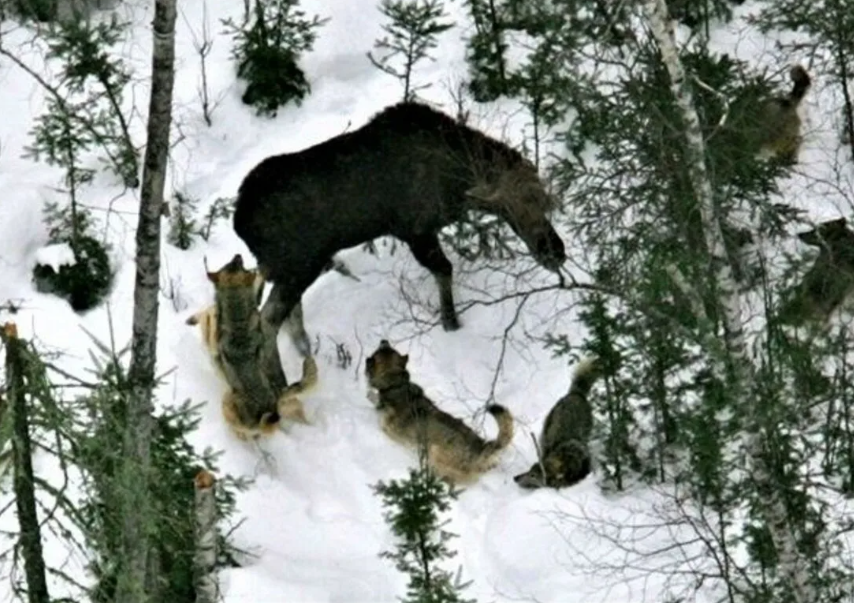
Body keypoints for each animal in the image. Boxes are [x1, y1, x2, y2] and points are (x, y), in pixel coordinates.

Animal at [234, 101, 568, 386]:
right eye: (511, 205)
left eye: (543, 200)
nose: (555, 252)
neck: (456, 181)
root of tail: (240, 222)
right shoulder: (415, 229)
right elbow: (444, 270)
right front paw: (451, 323)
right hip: (299, 264)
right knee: (267, 320)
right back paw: (277, 380)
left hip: (289, 267)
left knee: (285, 312)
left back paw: (304, 352)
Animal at [362, 340, 512, 486]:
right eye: (390, 348)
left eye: (381, 350)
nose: (384, 340)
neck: (396, 384)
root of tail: (480, 447)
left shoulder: (388, 430)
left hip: (434, 451)